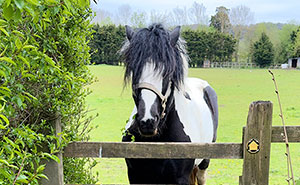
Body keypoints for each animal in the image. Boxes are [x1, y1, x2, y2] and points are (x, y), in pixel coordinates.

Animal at [120, 23, 219, 184]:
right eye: (135, 70)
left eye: (167, 72)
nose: (148, 121)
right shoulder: (135, 176)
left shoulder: (181, 178)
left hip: (204, 163)